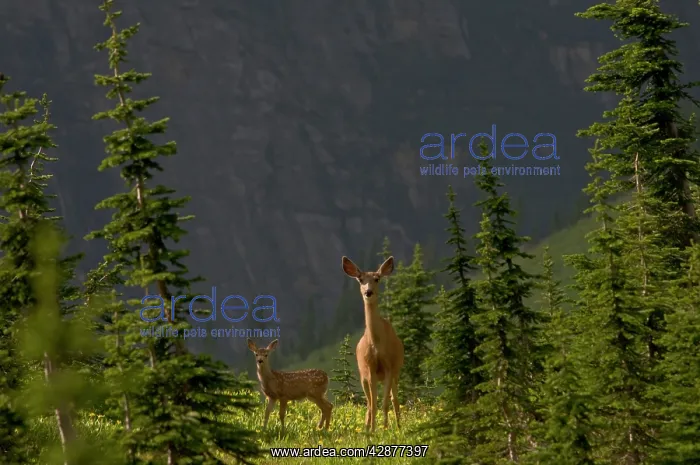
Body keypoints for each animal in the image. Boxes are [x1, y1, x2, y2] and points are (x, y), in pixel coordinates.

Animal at [341, 255, 404, 432]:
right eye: (360, 279)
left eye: (377, 279)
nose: (368, 292)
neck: (377, 344)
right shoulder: (370, 369)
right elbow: (374, 404)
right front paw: (374, 430)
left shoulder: (389, 367)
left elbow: (384, 404)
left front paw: (385, 429)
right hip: (363, 375)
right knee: (369, 403)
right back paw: (366, 428)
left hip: (396, 372)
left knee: (394, 399)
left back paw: (398, 426)